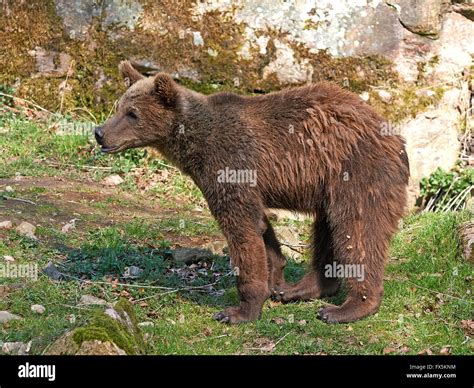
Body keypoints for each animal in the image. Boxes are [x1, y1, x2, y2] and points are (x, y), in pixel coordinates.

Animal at [94, 60, 410, 324]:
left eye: (132, 114)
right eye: (119, 106)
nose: (99, 133)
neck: (194, 145)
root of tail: (395, 136)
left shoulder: (229, 165)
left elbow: (242, 229)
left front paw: (238, 311)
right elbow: (260, 228)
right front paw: (275, 280)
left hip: (356, 172)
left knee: (357, 230)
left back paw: (347, 307)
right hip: (329, 186)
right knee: (327, 229)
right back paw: (302, 289)